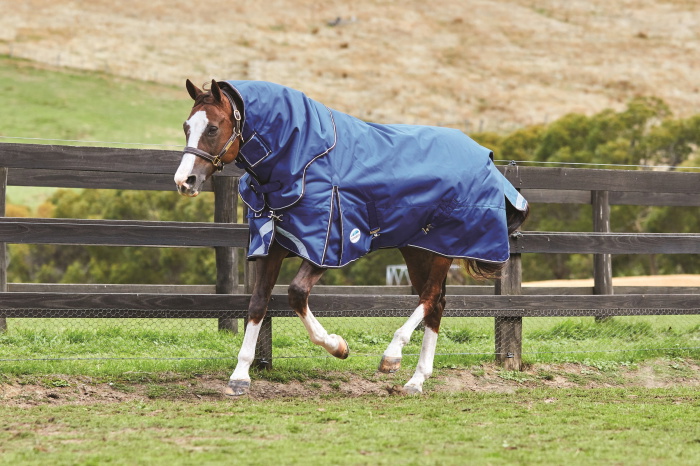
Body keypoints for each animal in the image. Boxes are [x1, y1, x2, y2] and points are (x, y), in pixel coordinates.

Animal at [174, 79, 529, 396]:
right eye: (187, 126)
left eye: (212, 128)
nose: (184, 181)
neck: (301, 162)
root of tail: (487, 160)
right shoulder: (273, 245)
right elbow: (258, 303)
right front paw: (240, 376)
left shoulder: (327, 248)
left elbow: (296, 293)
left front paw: (338, 347)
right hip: (418, 249)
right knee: (436, 303)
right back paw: (416, 380)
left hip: (445, 245)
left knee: (429, 298)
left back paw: (392, 356)